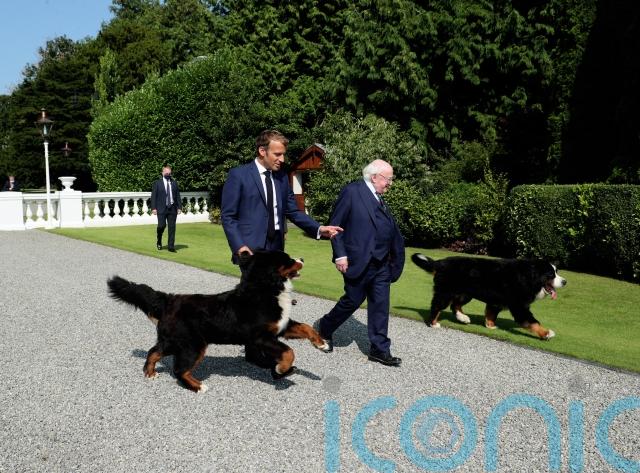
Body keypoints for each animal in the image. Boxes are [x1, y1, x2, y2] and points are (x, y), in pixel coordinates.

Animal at [107, 249, 330, 392]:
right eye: (287, 259)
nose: (302, 257)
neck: (266, 288)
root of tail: (169, 299)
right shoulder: (261, 337)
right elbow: (288, 352)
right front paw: (281, 369)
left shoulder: (281, 327)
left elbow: (306, 327)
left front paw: (322, 344)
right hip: (193, 345)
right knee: (179, 369)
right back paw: (198, 386)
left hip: (173, 341)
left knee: (154, 351)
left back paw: (150, 372)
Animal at [411, 253, 566, 339]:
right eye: (551, 275)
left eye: (556, 272)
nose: (565, 281)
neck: (528, 276)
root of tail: (441, 262)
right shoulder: (519, 306)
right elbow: (532, 322)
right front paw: (546, 333)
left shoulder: (496, 301)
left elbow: (491, 313)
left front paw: (490, 325)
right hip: (446, 292)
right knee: (437, 306)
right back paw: (433, 323)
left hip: (464, 293)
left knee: (455, 305)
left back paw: (463, 318)